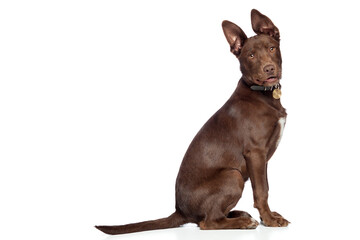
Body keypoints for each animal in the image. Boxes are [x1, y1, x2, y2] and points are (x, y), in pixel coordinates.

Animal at [95, 9, 290, 234]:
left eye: (272, 48)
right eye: (251, 55)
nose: (269, 69)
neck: (262, 94)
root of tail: (180, 211)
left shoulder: (262, 159)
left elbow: (265, 186)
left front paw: (271, 216)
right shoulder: (256, 153)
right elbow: (261, 191)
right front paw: (269, 219)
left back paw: (239, 214)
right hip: (233, 175)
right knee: (207, 222)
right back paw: (242, 222)